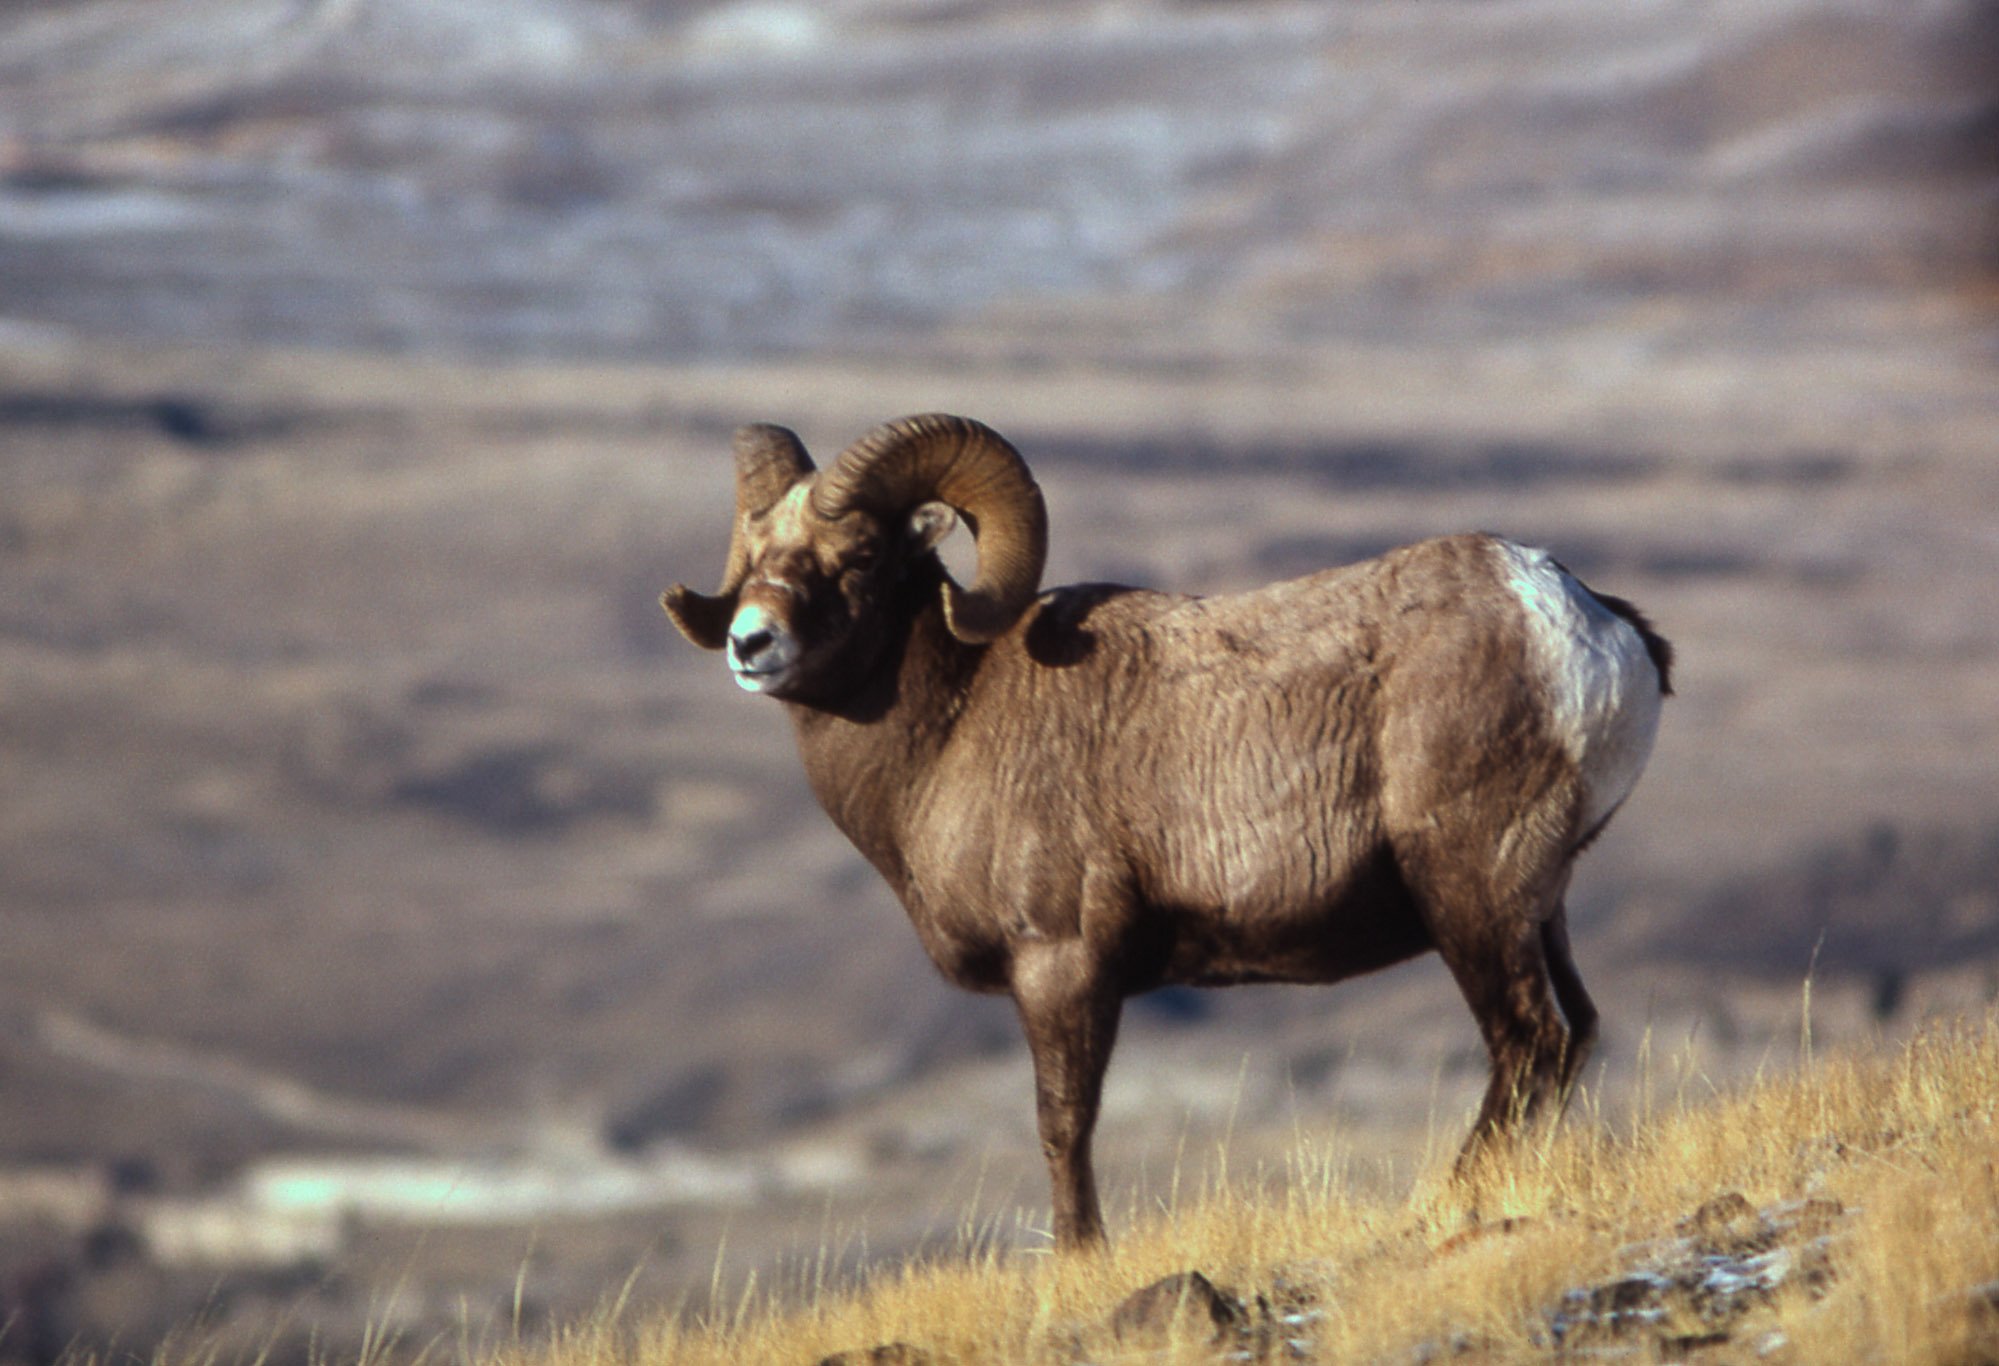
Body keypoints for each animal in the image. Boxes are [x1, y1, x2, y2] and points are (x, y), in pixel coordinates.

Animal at [661, 413, 1673, 1249]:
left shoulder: (1062, 965)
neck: (951, 724)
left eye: (863, 554)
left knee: (1526, 1041)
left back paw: (1443, 1202)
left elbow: (1064, 1123)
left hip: (1469, 896)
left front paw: (1079, 1258)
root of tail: (1582, 619)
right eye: (756, 546)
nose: (751, 644)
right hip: (1538, 906)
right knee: (1572, 1036)